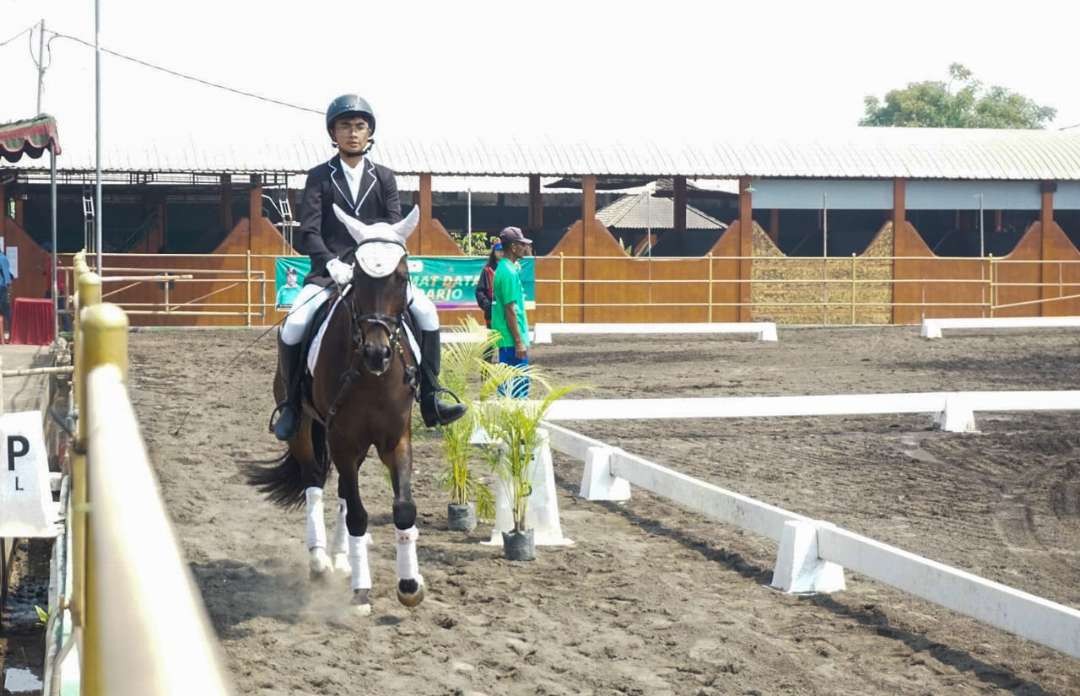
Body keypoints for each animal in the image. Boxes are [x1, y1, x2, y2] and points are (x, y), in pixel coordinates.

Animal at [249, 205, 425, 613]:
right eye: (357, 278)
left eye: (401, 278)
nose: (378, 354)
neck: (373, 377)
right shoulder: (342, 439)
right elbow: (358, 512)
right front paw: (362, 592)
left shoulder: (396, 438)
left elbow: (402, 508)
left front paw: (409, 585)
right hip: (304, 430)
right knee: (314, 481)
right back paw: (320, 561)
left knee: (344, 491)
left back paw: (344, 559)